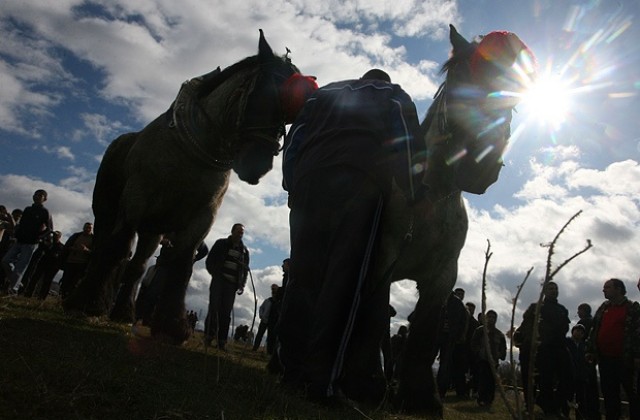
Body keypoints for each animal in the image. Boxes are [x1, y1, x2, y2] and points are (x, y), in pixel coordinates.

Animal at [64, 30, 316, 344]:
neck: (190, 155)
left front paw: (172, 325)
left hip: (153, 230)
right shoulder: (136, 200)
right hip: (107, 211)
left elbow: (181, 263)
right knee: (103, 247)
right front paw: (90, 302)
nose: (258, 164)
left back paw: (122, 311)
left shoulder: (202, 217)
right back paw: (85, 297)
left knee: (137, 266)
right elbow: (116, 249)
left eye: (289, 113)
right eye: (262, 93)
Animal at [372, 24, 532, 412]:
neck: (429, 199)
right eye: (460, 78)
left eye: (513, 91)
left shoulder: (443, 277)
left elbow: (425, 333)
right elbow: (376, 323)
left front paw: (419, 397)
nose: (478, 166)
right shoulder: (383, 260)